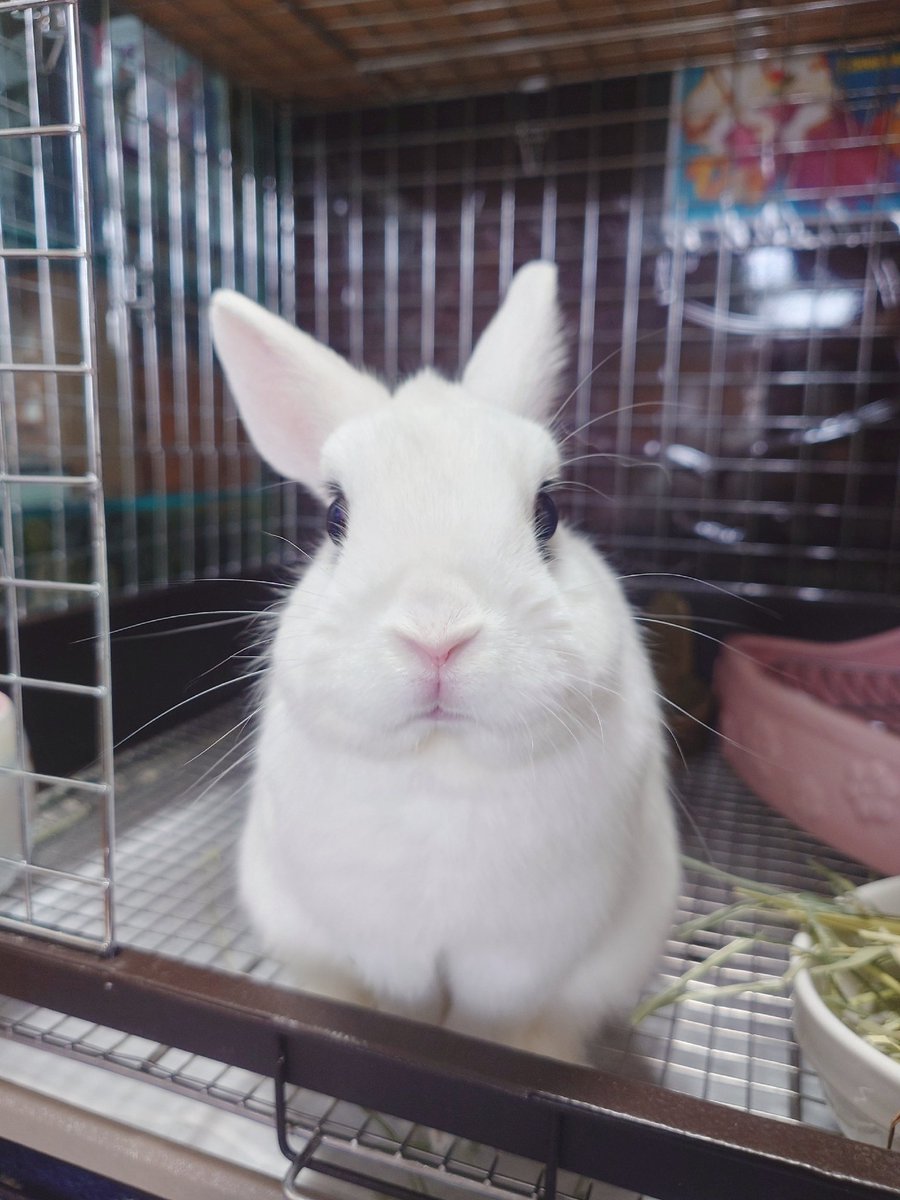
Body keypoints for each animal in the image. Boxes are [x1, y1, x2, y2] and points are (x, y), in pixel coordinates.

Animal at [209, 262, 680, 1063]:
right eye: (336, 518)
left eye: (547, 513)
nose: (437, 635)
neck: (442, 758)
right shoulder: (384, 942)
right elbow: (407, 1007)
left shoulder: (520, 954)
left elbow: (484, 1024)